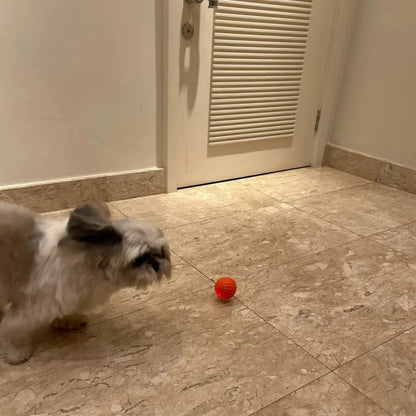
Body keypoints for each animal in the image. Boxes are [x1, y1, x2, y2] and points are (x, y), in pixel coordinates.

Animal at [0, 202, 171, 364]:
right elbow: (12, 328)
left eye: (160, 252)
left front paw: (69, 320)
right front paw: (16, 353)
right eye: (140, 258)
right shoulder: (32, 308)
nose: (157, 265)